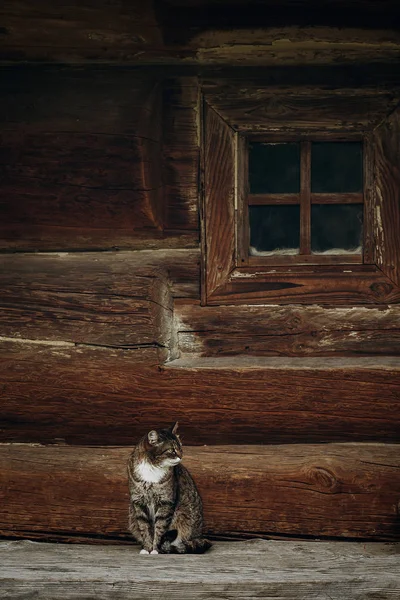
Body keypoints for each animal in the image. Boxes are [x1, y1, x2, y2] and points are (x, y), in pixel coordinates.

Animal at [127, 422, 212, 552]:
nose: (181, 456)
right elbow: (145, 528)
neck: (152, 467)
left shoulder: (165, 503)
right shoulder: (139, 503)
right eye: (172, 450)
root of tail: (198, 537)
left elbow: (159, 530)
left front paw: (155, 550)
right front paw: (147, 549)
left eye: (180, 447)